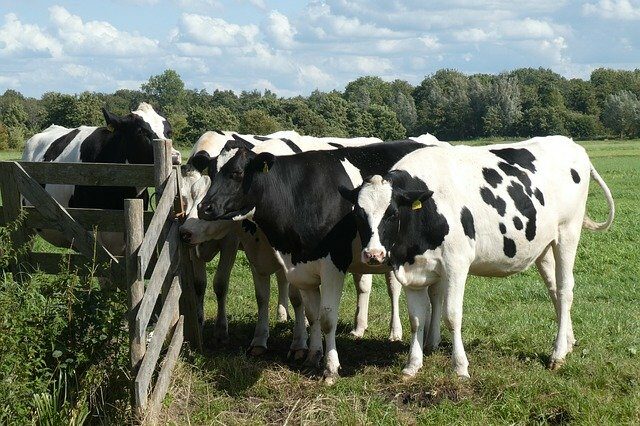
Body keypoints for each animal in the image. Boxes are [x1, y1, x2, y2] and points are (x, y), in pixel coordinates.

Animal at [198, 139, 432, 382]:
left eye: (237, 173)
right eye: (211, 172)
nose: (204, 208)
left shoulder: (333, 266)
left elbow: (327, 318)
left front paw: (331, 368)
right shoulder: (300, 266)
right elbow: (312, 315)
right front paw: (313, 356)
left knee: (398, 290)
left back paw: (397, 333)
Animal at [340, 135, 616, 378]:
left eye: (393, 213)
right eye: (358, 214)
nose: (373, 254)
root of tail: (570, 144)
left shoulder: (456, 263)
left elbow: (452, 315)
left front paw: (460, 367)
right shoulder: (410, 269)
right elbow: (417, 319)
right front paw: (412, 365)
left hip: (568, 232)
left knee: (566, 289)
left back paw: (557, 354)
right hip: (544, 246)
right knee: (554, 290)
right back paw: (567, 343)